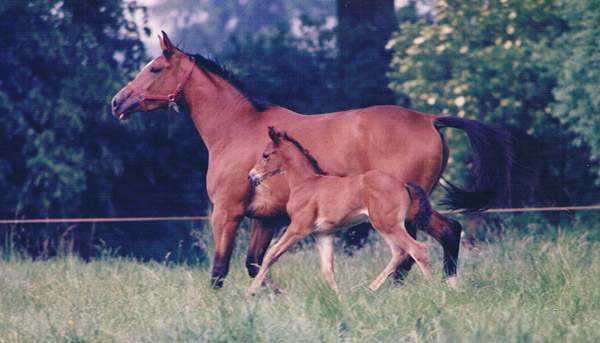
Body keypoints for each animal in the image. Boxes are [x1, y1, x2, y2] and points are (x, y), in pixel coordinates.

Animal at [111, 32, 510, 290]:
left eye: (155, 69)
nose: (117, 102)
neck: (237, 128)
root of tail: (430, 119)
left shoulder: (227, 212)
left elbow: (220, 270)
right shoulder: (267, 218)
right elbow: (256, 263)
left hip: (403, 213)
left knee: (414, 251)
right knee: (446, 233)